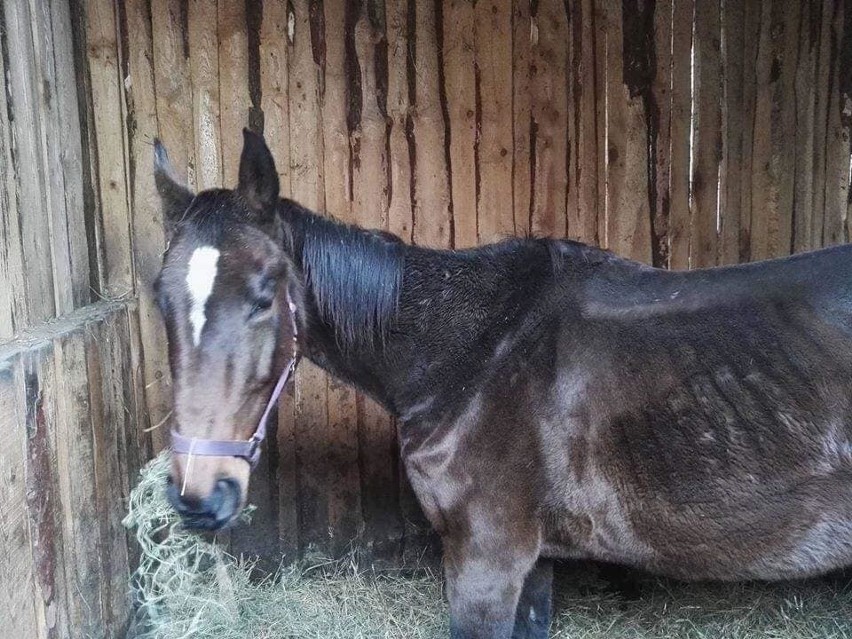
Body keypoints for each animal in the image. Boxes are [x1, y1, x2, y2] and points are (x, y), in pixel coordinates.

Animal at [153, 131, 852, 639]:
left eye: (264, 295)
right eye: (159, 297)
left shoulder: (486, 560)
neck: (476, 350)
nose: (199, 494)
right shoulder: (533, 563)